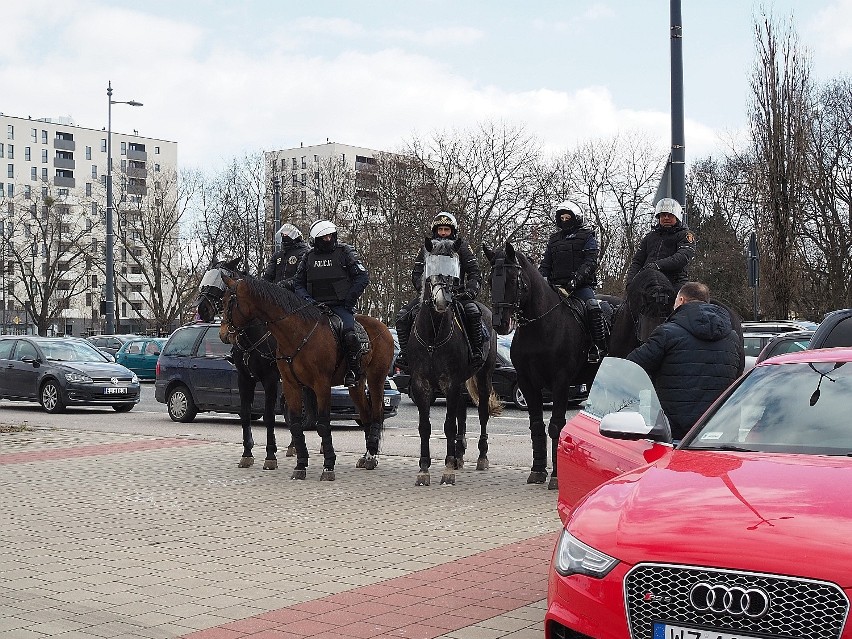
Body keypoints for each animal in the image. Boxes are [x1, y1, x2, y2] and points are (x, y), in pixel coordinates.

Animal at [196, 258, 292, 470]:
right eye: (206, 276)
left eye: (222, 280)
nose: (202, 309)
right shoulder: (244, 378)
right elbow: (245, 413)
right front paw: (247, 453)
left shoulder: (270, 380)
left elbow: (269, 416)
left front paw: (270, 455)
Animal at [218, 274, 394, 480]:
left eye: (229, 302)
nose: (223, 334)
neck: (296, 334)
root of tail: (382, 325)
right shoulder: (286, 384)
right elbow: (293, 422)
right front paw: (300, 464)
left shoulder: (317, 385)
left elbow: (322, 424)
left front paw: (328, 466)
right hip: (356, 384)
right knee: (365, 415)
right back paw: (366, 456)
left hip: (376, 380)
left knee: (376, 415)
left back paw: (372, 456)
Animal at [406, 239, 500, 484]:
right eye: (430, 266)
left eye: (454, 269)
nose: (442, 300)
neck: (433, 337)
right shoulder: (421, 384)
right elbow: (425, 426)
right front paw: (424, 468)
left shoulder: (451, 383)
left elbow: (448, 424)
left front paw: (447, 468)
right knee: (461, 413)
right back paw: (459, 455)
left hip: (482, 377)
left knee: (482, 413)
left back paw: (481, 457)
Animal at [486, 244, 600, 490]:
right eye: (490, 280)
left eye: (513, 280)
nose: (500, 323)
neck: (541, 326)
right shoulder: (528, 384)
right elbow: (536, 426)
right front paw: (538, 470)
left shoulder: (561, 383)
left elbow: (556, 426)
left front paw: (557, 476)